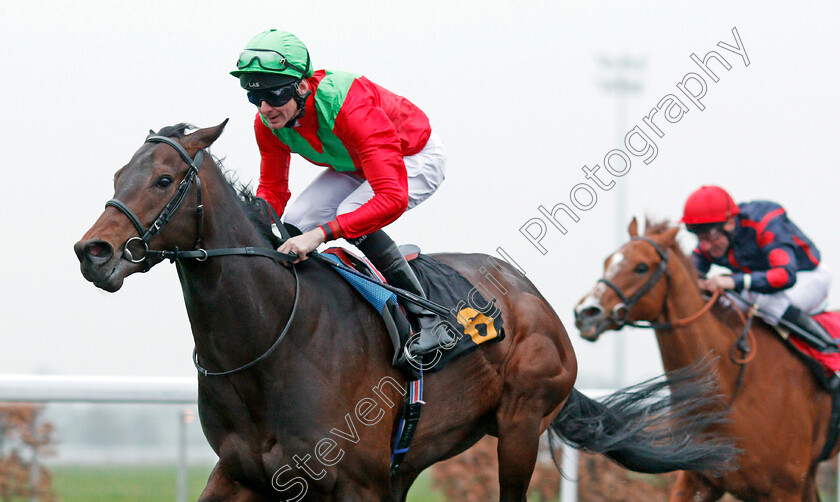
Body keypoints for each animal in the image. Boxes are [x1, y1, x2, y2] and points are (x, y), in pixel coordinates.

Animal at [74, 122, 736, 502]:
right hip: (412, 457)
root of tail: (536, 299)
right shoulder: (239, 475)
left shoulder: (354, 483)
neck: (270, 341)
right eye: (118, 173)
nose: (93, 252)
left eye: (164, 179)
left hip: (520, 427)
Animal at [576, 219, 836, 502]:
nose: (585, 312)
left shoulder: (786, 487)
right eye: (607, 261)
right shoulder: (698, 479)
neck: (735, 388)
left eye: (641, 267)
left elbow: (784, 271)